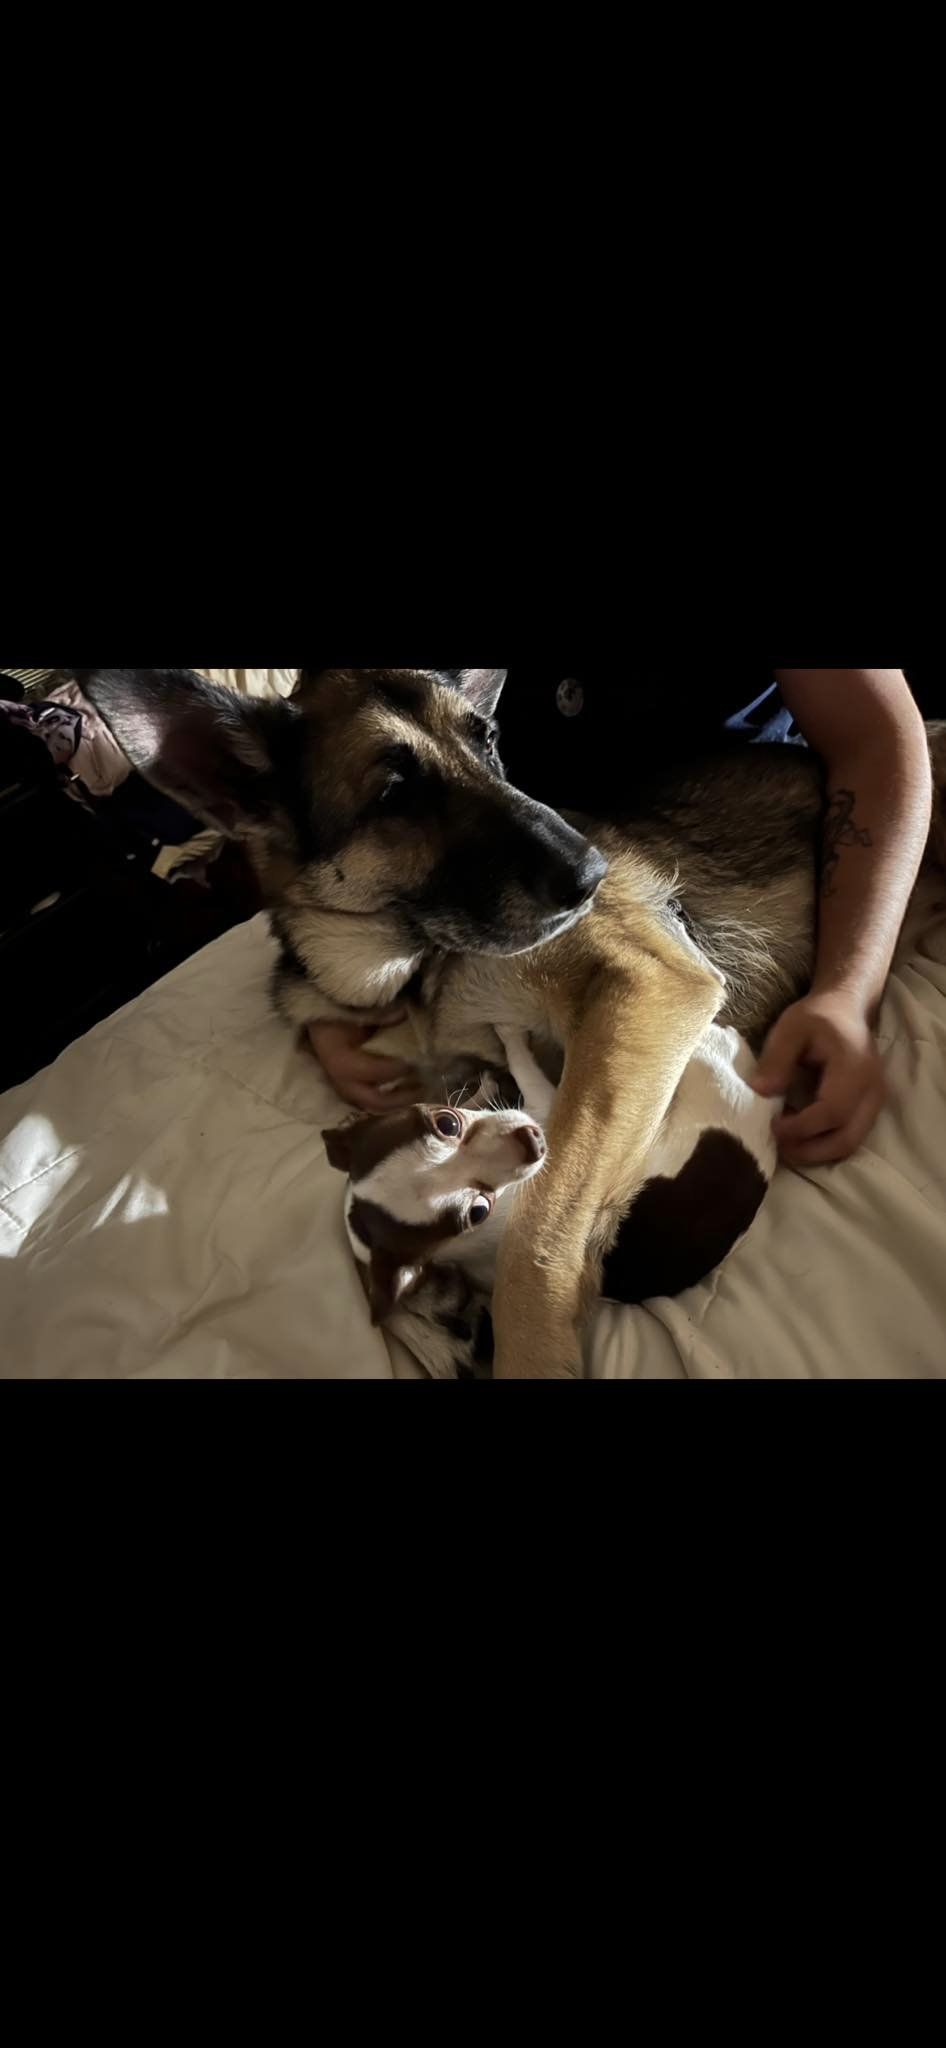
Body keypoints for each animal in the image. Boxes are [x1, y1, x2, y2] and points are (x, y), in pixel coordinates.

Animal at [321, 1032, 778, 1384]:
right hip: (709, 1070)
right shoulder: (548, 1102)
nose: (533, 1139)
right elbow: (521, 1060)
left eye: (447, 1122)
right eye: (477, 1210)